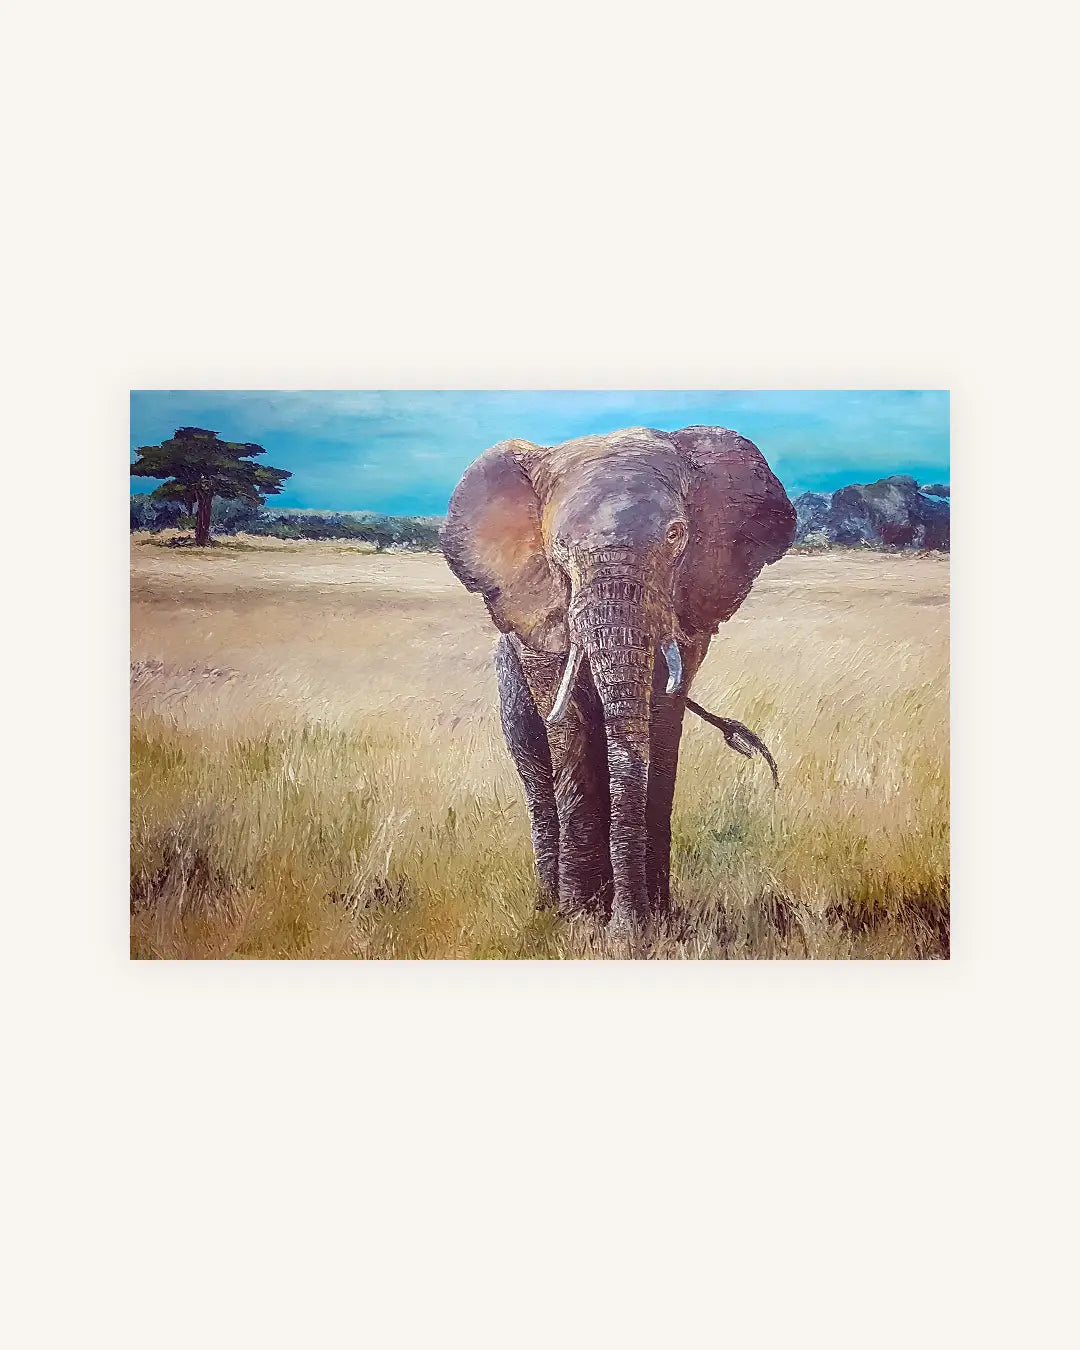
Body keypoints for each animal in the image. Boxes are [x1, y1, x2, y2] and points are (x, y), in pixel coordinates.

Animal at [442, 424, 796, 935]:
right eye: (560, 548)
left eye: (676, 535)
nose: (628, 929)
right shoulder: (539, 615)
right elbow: (564, 717)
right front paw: (580, 922)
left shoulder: (688, 600)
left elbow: (663, 713)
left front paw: (655, 921)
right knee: (534, 768)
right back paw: (548, 906)